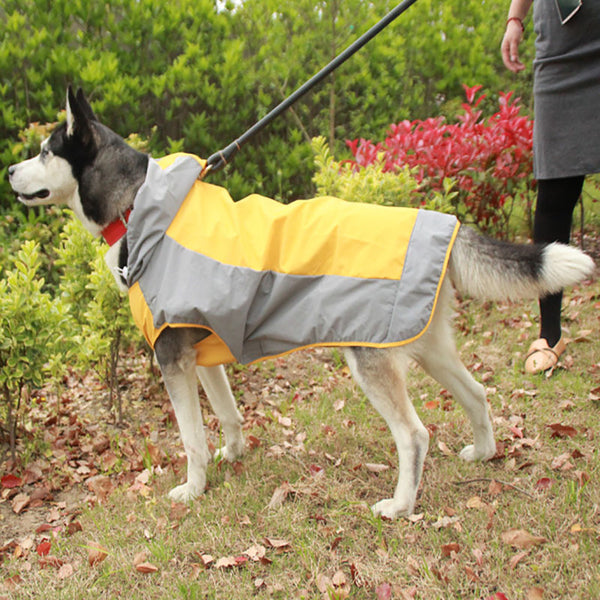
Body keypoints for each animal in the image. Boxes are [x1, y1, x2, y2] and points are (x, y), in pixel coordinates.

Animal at [7, 86, 592, 516]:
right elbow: (228, 416)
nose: (9, 172)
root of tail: (441, 223)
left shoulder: (172, 358)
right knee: (477, 393)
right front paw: (233, 455)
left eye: (44, 151)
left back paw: (400, 506)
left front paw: (193, 490)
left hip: (370, 360)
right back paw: (484, 452)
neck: (140, 208)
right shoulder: (203, 357)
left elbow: (192, 440)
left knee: (415, 436)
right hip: (428, 346)